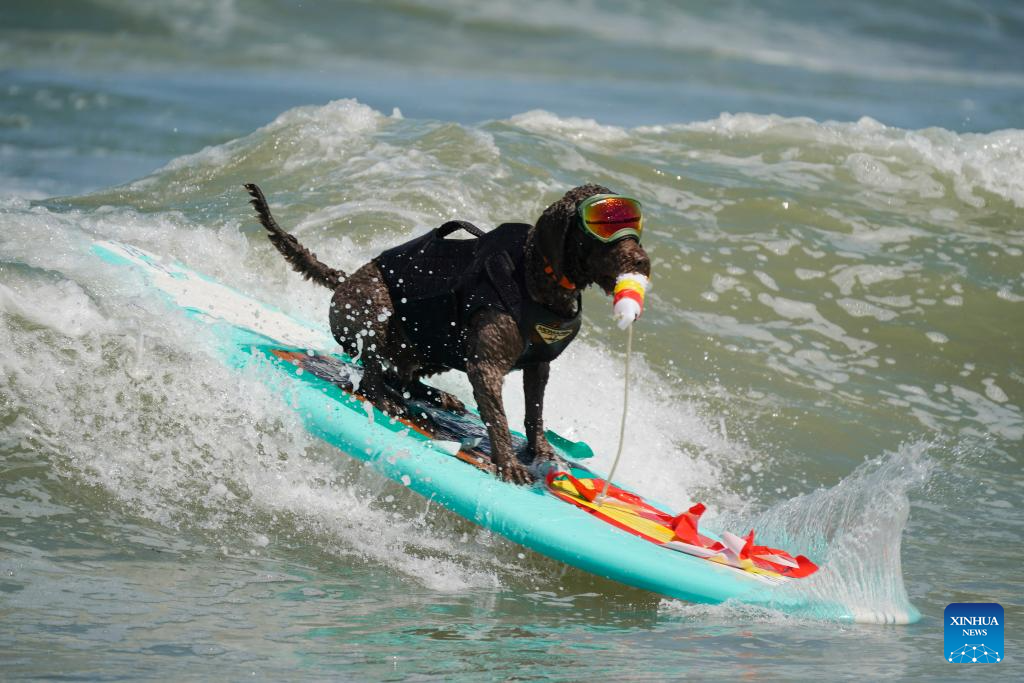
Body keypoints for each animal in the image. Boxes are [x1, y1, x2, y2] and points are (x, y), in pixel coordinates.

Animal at [241, 184, 647, 483]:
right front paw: (509, 462)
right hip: (376, 309)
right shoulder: (486, 368)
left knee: (402, 376)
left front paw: (542, 452)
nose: (642, 261)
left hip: (433, 348)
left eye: (634, 225)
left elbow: (535, 413)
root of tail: (343, 279)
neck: (535, 277)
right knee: (373, 374)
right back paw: (389, 399)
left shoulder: (538, 367)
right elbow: (499, 419)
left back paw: (436, 397)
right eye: (603, 228)